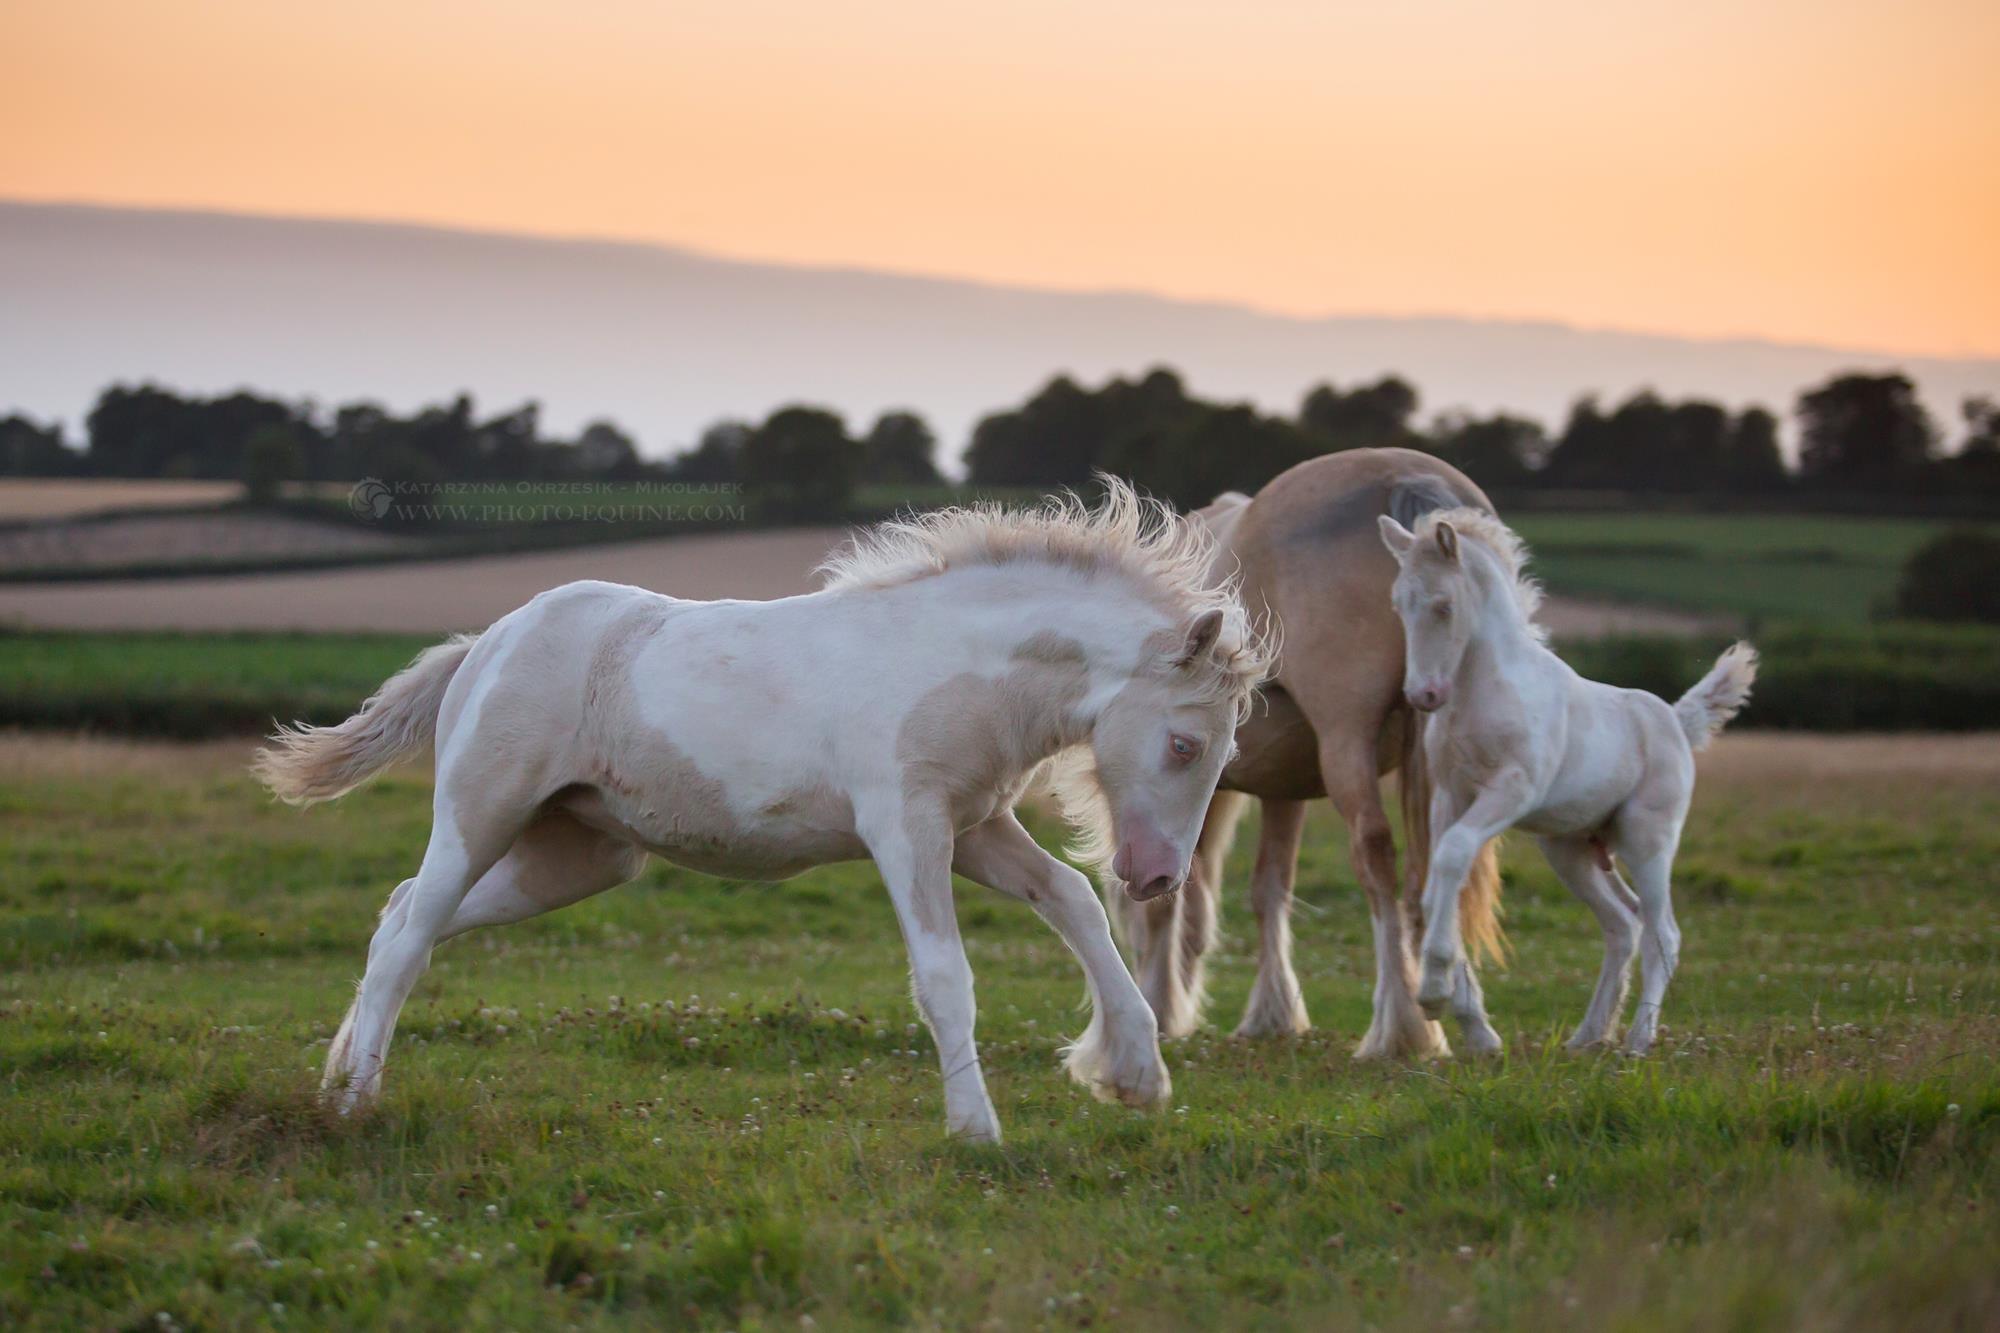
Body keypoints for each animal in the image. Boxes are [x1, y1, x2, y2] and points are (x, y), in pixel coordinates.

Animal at [258, 482, 1264, 1136]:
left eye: (1222, 754)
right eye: (1184, 744)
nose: (1157, 873)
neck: (952, 665)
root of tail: (485, 642)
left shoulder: (976, 826)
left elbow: (1072, 901)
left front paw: (1135, 1074)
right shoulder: (904, 827)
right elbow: (946, 977)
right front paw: (976, 1128)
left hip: (577, 855)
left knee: (406, 918)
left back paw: (339, 1073)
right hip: (482, 813)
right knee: (406, 933)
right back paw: (355, 1103)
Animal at [1112, 452, 1504, 1056]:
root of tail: (1405, 475)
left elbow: (1171, 905)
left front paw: (1161, 1005)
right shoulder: (1284, 787)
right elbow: (1269, 889)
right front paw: (1271, 1013)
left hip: (1348, 744)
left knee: (1375, 854)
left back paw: (1399, 1027)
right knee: (1440, 862)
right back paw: (1458, 1019)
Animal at [1384, 504, 1760, 1056]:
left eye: (1444, 605)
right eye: (1399, 604)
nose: (1423, 695)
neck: (1483, 687)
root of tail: (1675, 720)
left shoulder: (1513, 787)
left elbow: (1453, 854)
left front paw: (1433, 990)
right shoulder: (1451, 795)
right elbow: (1439, 877)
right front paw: (1449, 1000)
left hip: (1648, 841)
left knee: (1662, 934)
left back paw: (1637, 1041)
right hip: (1571, 850)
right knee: (1623, 925)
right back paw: (1586, 1037)